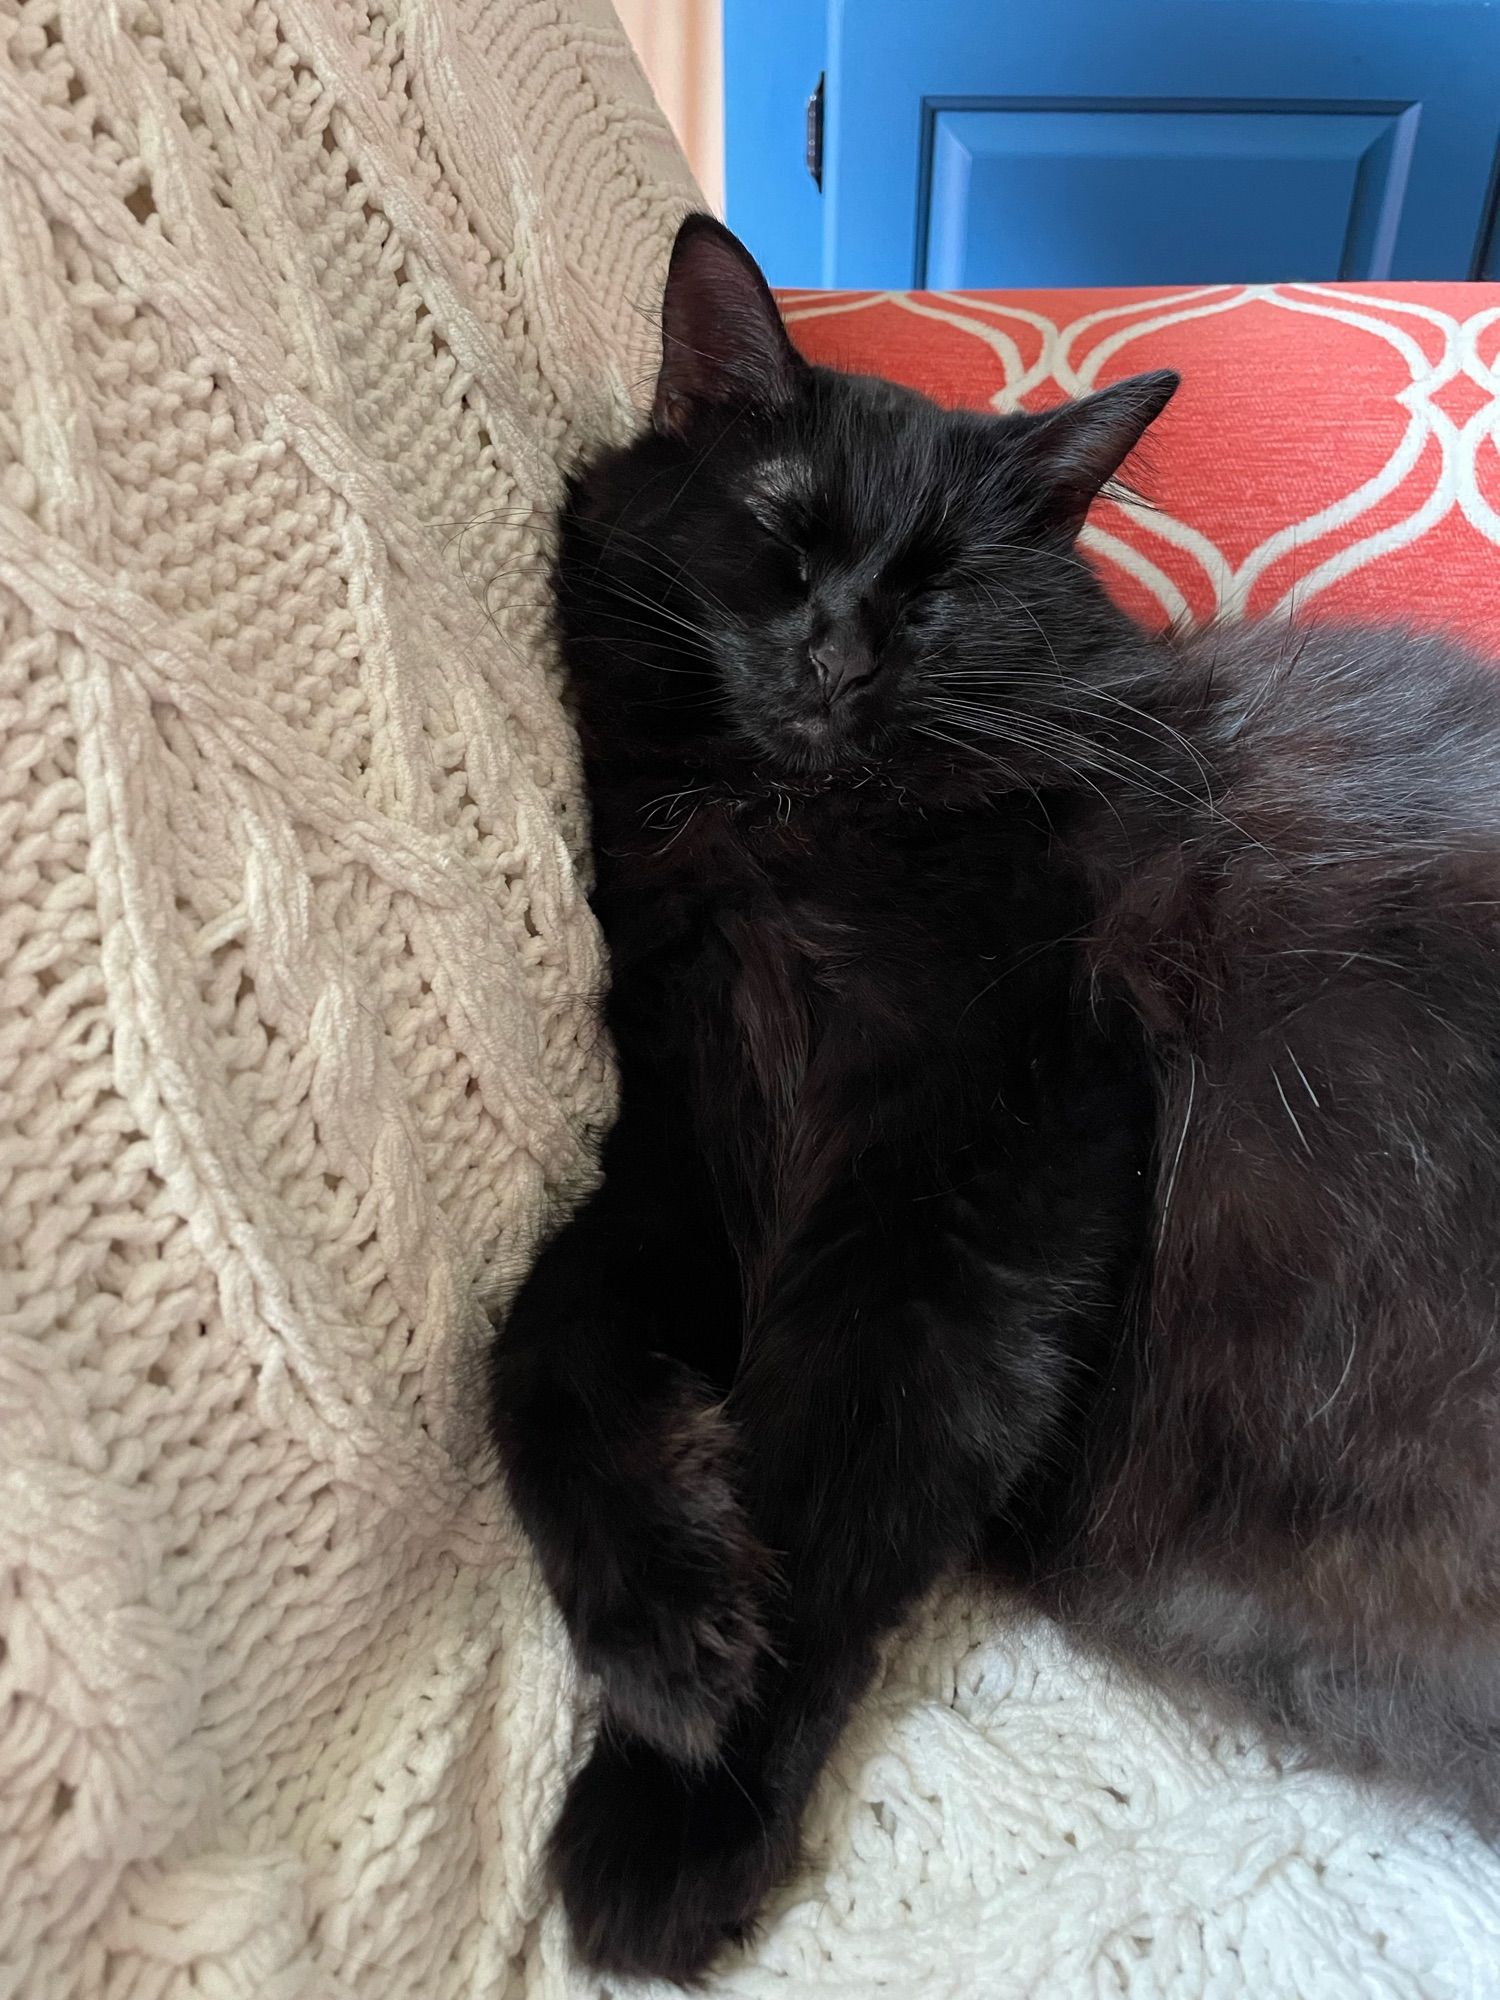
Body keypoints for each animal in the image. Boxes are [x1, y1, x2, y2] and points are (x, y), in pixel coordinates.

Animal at [488, 211, 1500, 1976]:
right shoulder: (689, 1154)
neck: (795, 835)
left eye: (941, 584)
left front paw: (672, 1818)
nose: (835, 652)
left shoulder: (964, 1180)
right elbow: (537, 1352)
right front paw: (670, 1634)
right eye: (783, 537)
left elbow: (827, 1478)